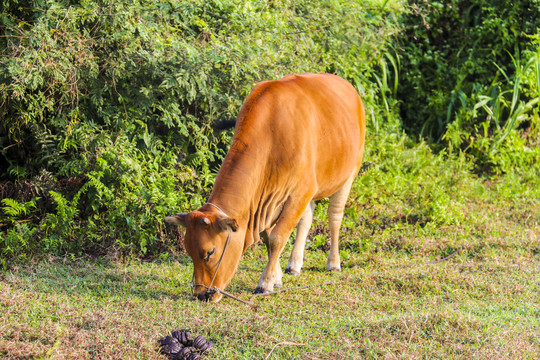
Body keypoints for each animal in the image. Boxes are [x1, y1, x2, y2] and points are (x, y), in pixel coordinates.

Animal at [166, 72, 368, 300]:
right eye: (189, 252)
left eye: (210, 252)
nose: (203, 294)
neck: (272, 136)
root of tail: (349, 88)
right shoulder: (269, 203)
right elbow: (267, 238)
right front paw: (277, 277)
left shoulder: (299, 193)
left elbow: (277, 238)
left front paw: (266, 283)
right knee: (306, 218)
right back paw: (294, 264)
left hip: (349, 174)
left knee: (334, 218)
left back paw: (333, 263)